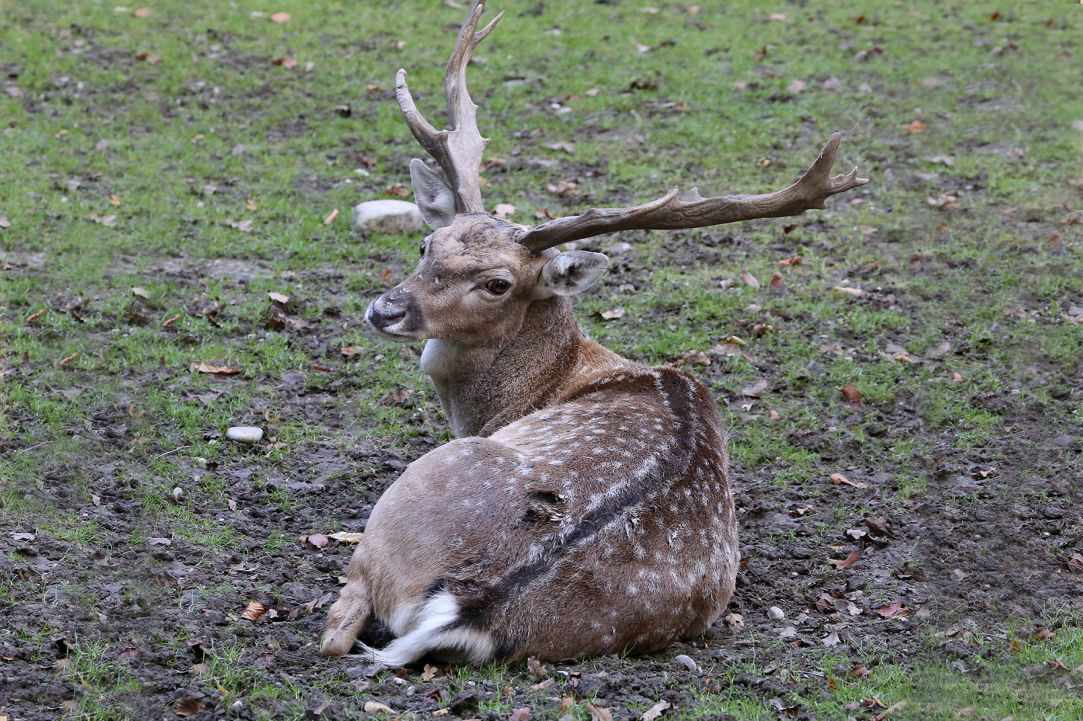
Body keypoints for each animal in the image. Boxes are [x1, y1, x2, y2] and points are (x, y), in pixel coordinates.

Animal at [320, 0, 866, 665]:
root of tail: (475, 602)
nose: (386, 309)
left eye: (498, 283)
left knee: (338, 628)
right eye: (428, 242)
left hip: (405, 500)